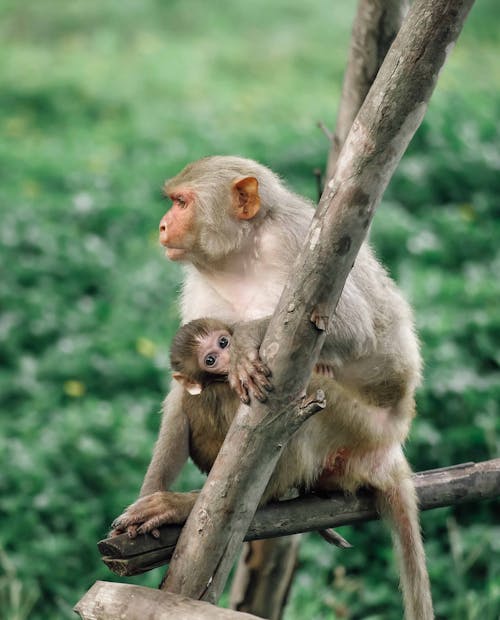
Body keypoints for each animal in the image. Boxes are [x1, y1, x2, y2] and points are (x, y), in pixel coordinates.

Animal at [111, 155, 432, 620]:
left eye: (181, 202)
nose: (162, 225)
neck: (242, 255)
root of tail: (391, 450)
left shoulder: (301, 244)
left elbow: (353, 330)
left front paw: (246, 340)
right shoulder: (199, 283)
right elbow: (184, 381)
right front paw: (149, 495)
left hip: (360, 426)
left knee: (306, 376)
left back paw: (230, 501)